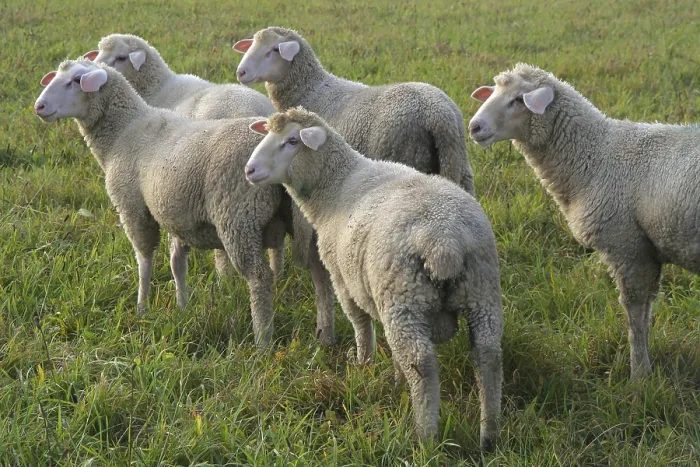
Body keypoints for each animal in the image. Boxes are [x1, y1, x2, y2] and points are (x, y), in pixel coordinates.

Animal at [34, 59, 288, 347]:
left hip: (238, 216)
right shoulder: (176, 213)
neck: (124, 130)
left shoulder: (133, 206)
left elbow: (144, 261)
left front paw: (141, 308)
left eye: (76, 80)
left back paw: (262, 339)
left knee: (259, 277)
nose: (39, 106)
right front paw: (182, 307)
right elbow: (177, 264)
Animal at [244, 107, 503, 450]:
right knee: (487, 356)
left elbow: (360, 325)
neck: (335, 186)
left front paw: (362, 365)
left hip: (404, 297)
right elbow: (391, 349)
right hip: (481, 290)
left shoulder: (343, 280)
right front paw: (395, 378)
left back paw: (425, 437)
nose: (249, 170)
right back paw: (489, 435)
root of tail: (445, 241)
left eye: (291, 141)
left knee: (421, 363)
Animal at [468, 62, 700, 379]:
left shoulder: (628, 247)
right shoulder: (646, 252)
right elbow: (646, 311)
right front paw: (643, 369)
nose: (474, 127)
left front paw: (639, 375)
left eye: (518, 99)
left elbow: (635, 315)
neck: (596, 156)